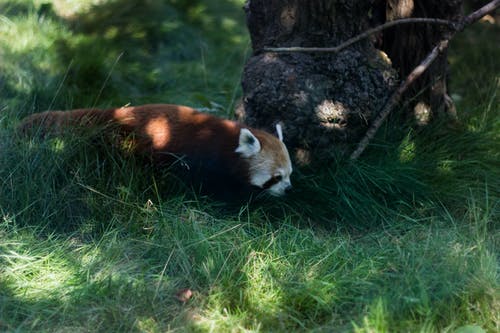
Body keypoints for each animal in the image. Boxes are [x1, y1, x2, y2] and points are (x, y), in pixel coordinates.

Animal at [19, 103, 292, 197]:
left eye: (290, 175)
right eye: (276, 177)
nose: (288, 189)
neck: (228, 142)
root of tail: (113, 113)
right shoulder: (205, 162)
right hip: (123, 142)